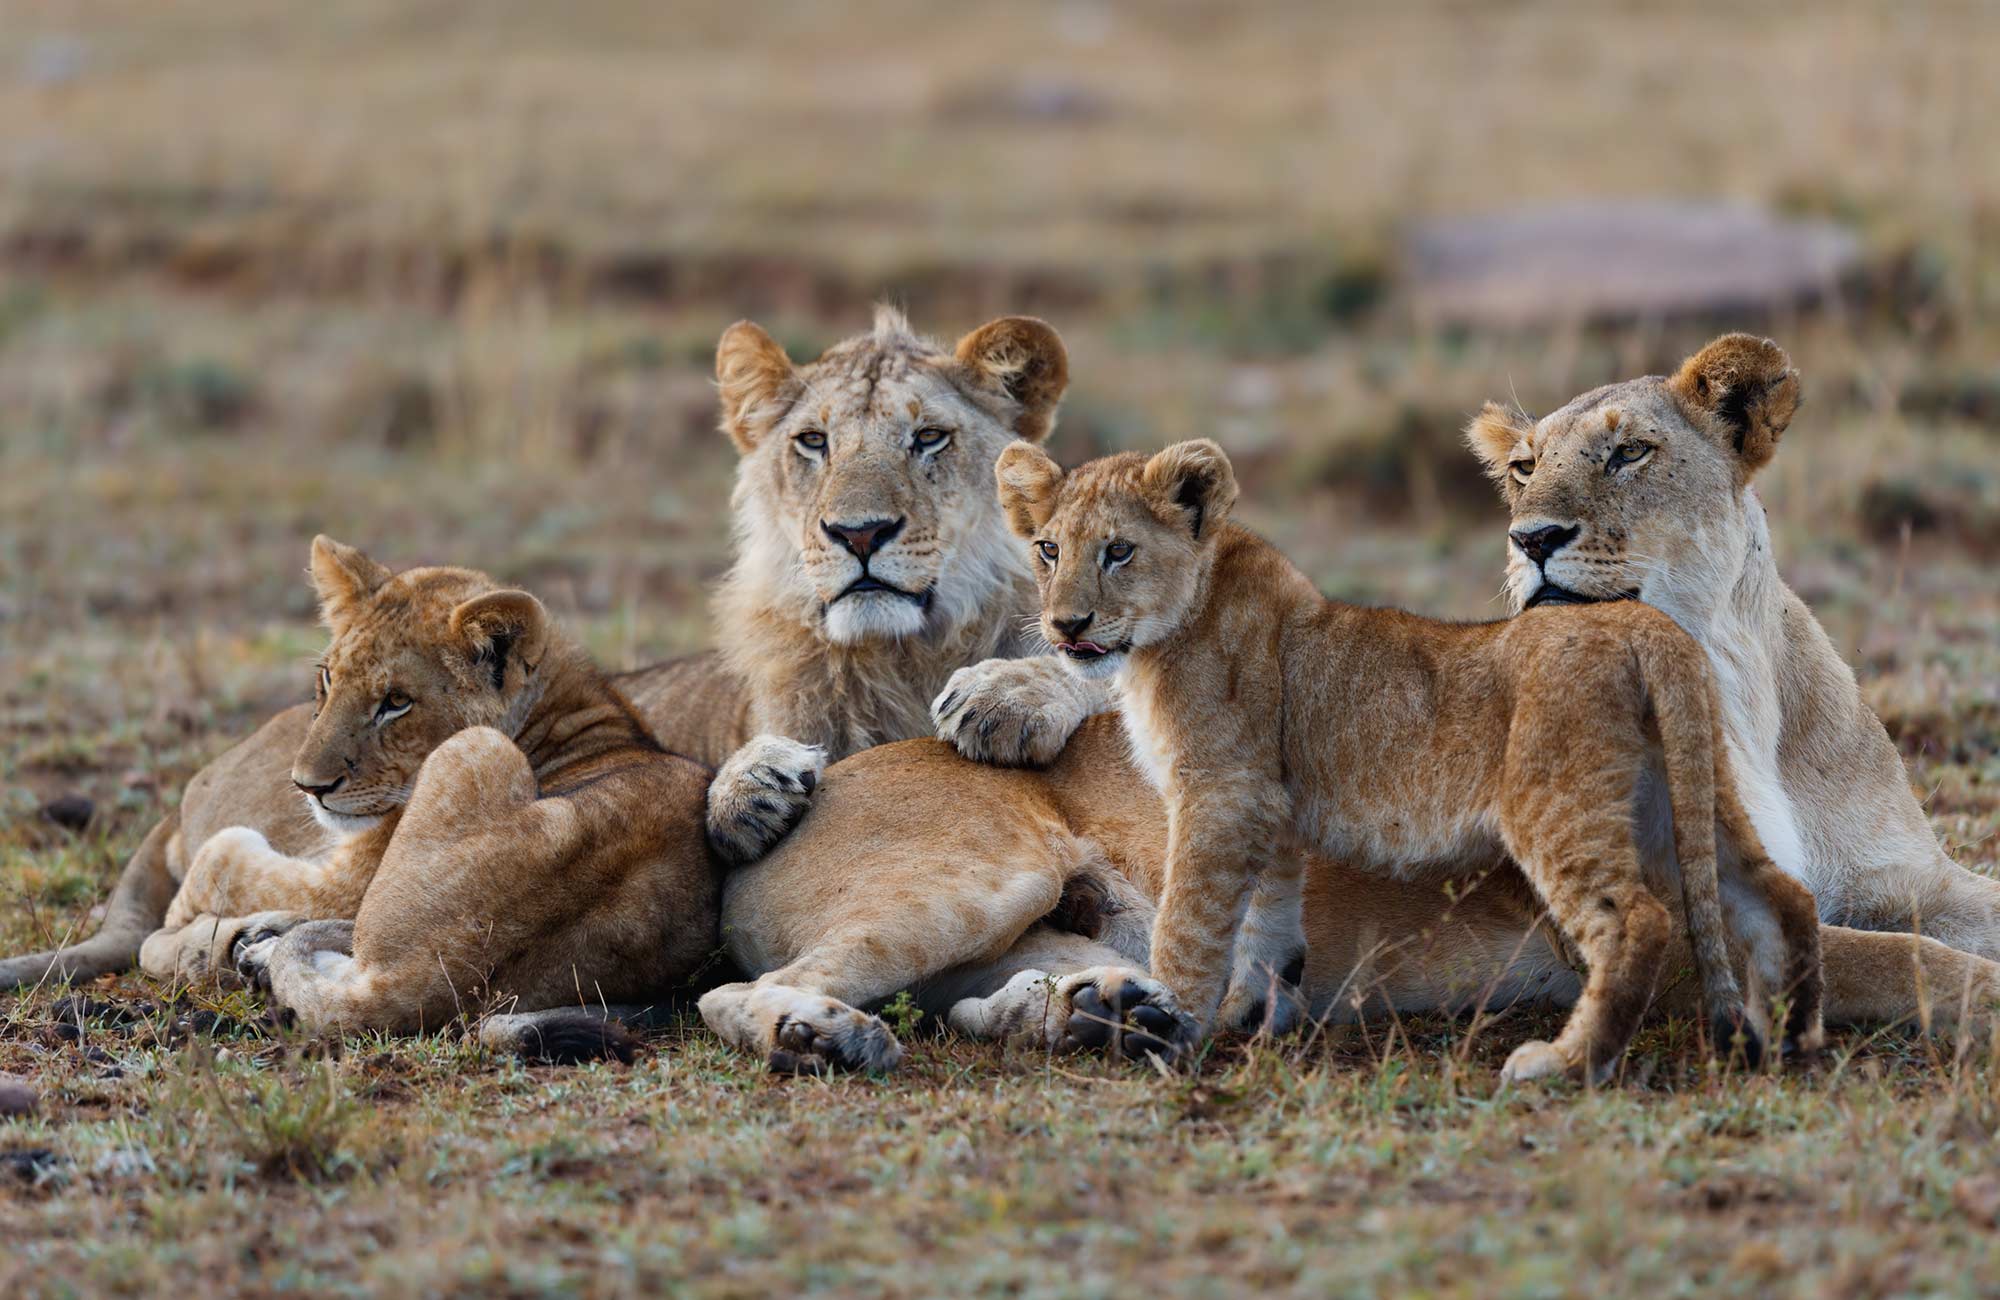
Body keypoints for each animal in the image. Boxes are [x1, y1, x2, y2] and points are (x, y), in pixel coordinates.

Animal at [131, 536, 824, 1053]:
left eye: (396, 702)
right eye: (327, 679)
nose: (308, 787)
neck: (570, 711)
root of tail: (412, 982)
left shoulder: (348, 876)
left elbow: (225, 863)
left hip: (476, 750)